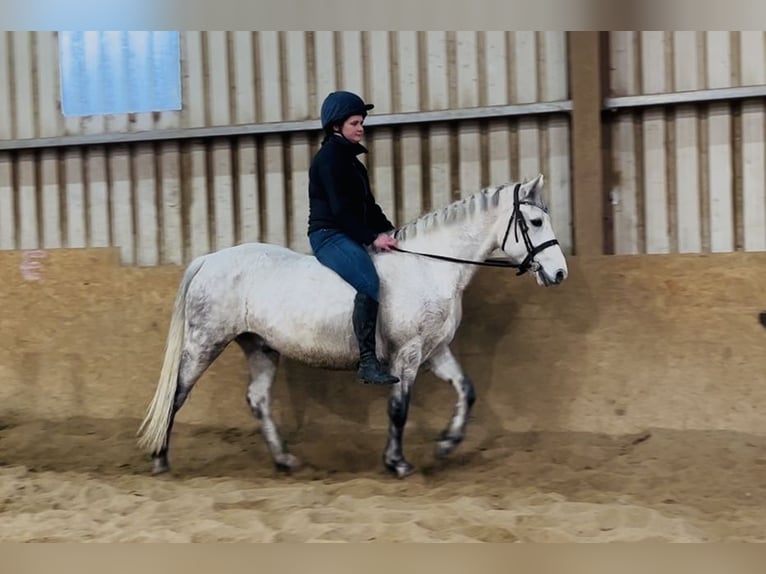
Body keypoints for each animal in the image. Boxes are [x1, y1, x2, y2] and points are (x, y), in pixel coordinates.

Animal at [137, 174, 568, 478]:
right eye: (534, 221)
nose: (559, 273)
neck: (429, 266)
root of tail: (209, 259)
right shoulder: (407, 354)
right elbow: (399, 408)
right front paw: (397, 463)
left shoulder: (434, 351)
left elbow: (467, 391)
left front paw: (446, 445)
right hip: (205, 342)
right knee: (177, 393)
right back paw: (160, 459)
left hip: (260, 346)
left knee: (257, 399)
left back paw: (284, 460)